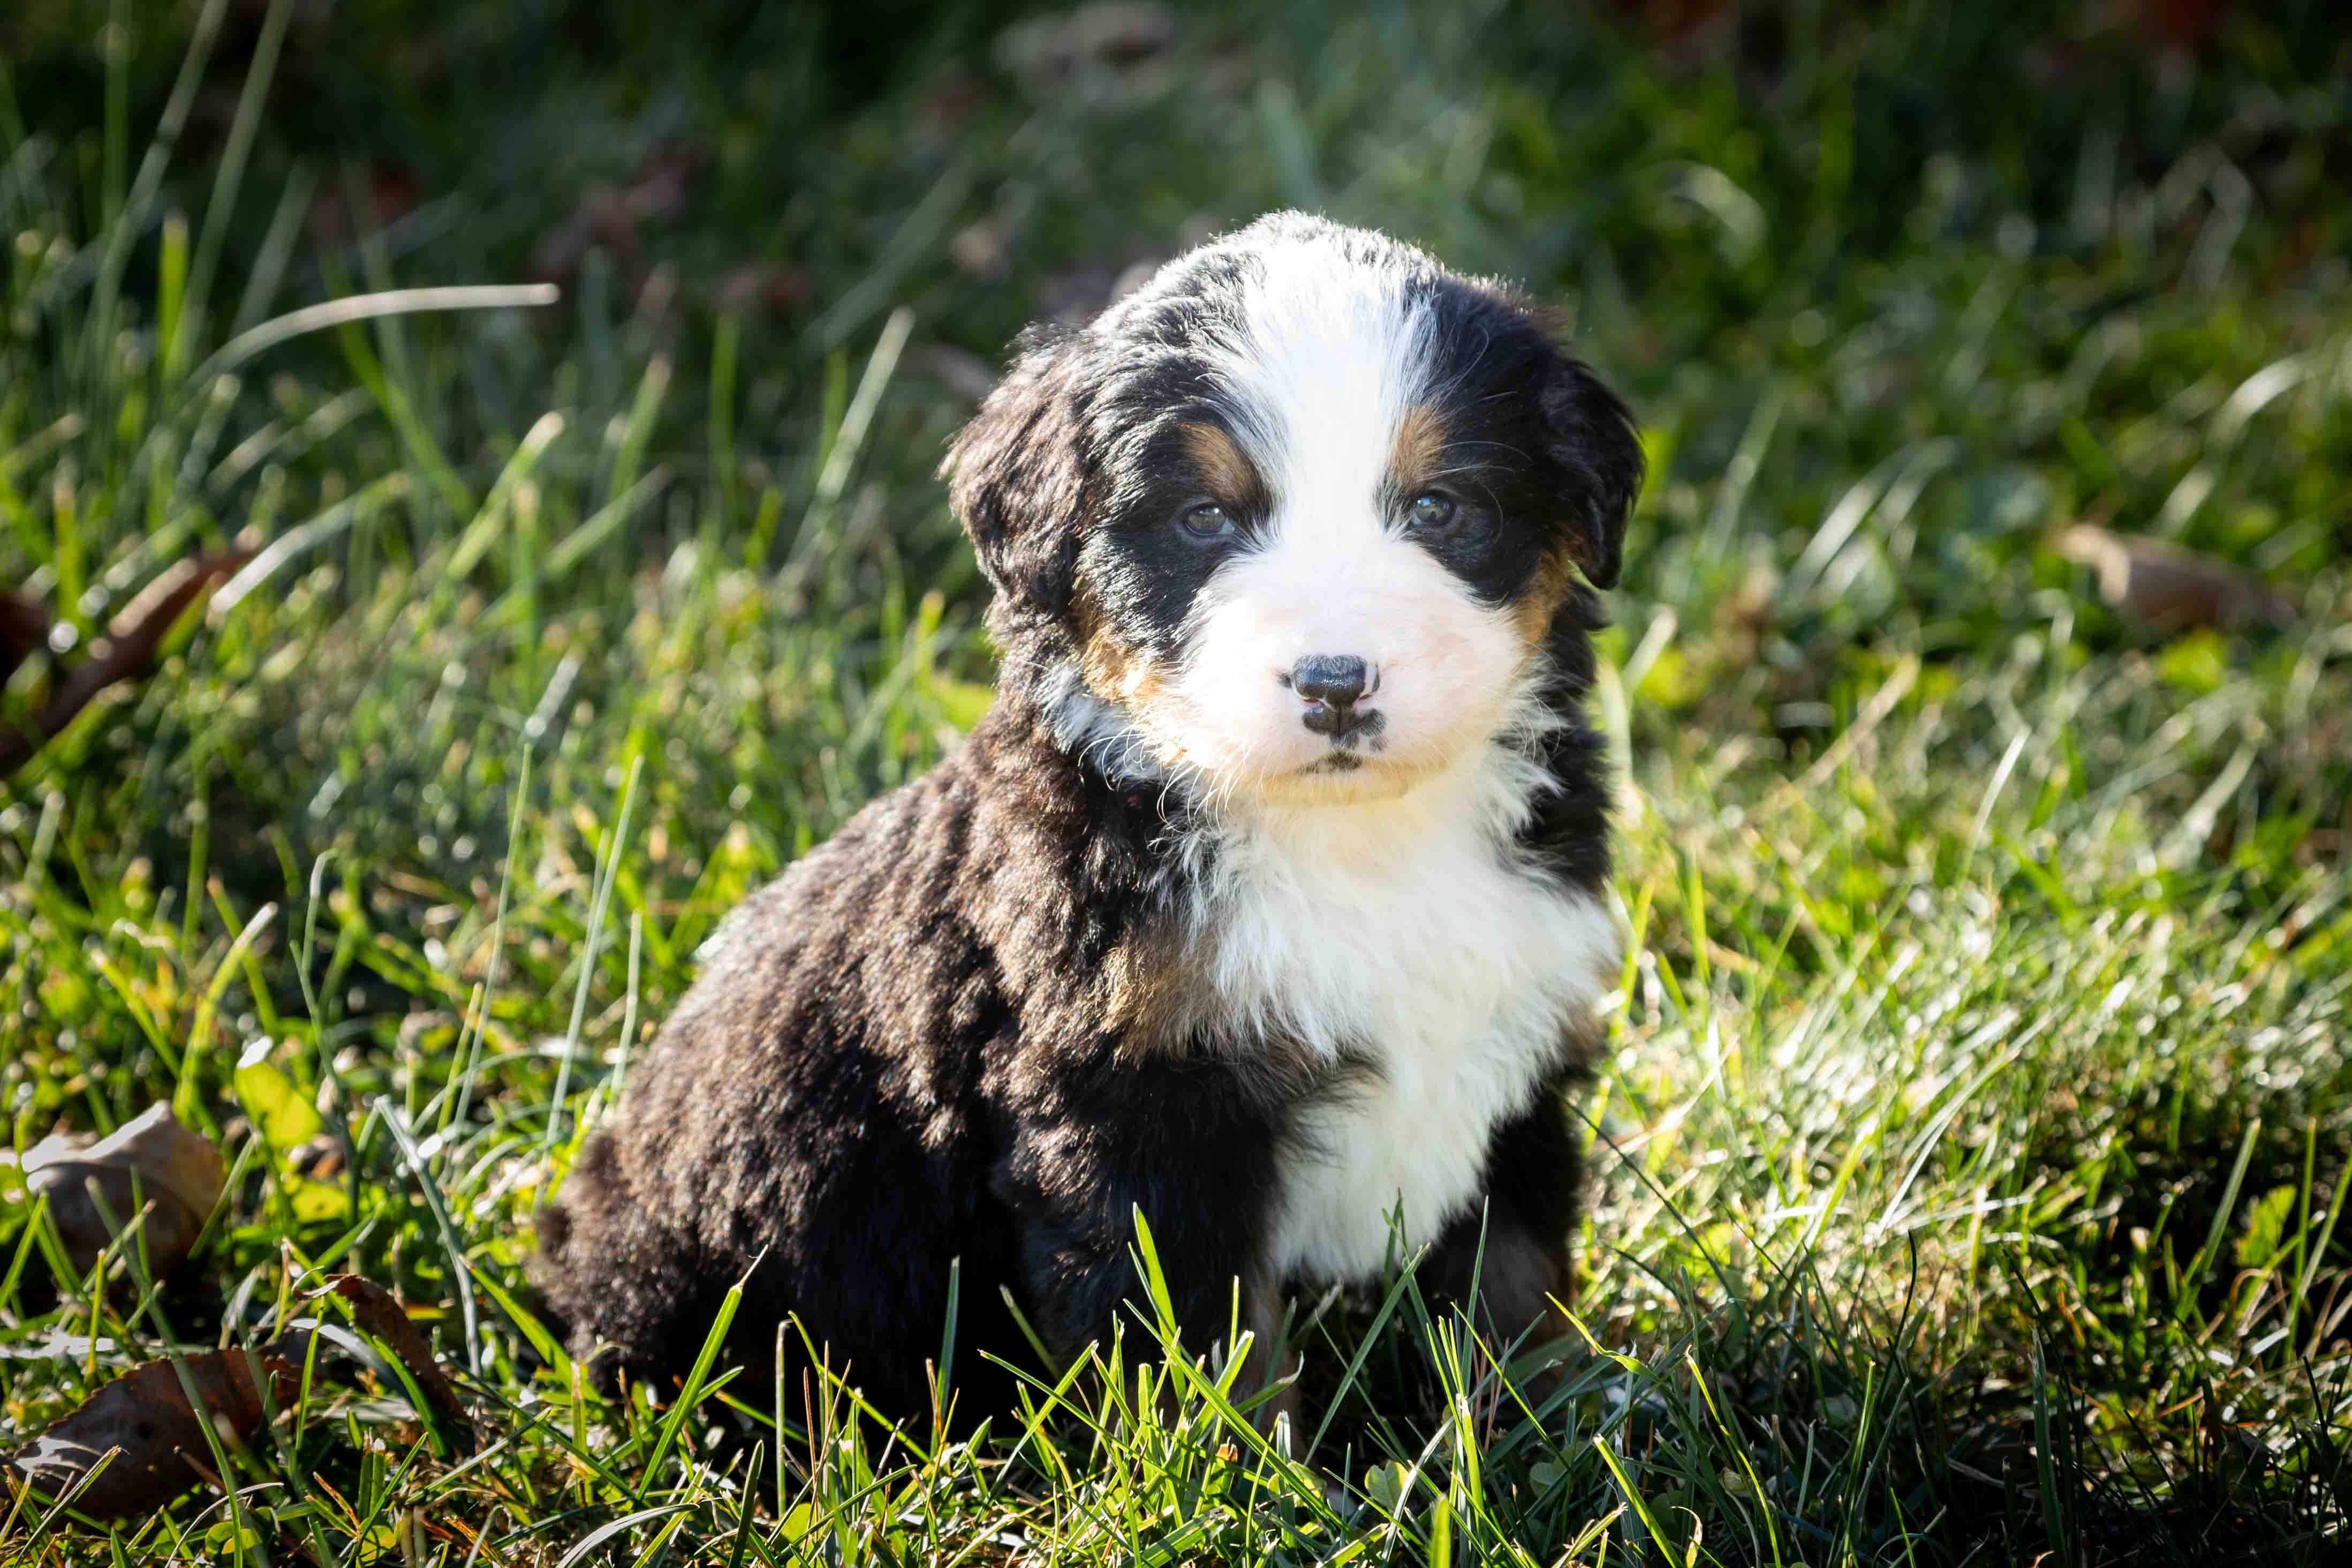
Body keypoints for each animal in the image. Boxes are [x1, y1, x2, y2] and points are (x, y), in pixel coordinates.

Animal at [534, 215, 1637, 1429]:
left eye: (1439, 507)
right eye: (1205, 518)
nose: (1335, 682)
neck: (1356, 845)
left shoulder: (1521, 1043)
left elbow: (1512, 1285)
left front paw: (1547, 1427)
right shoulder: (1133, 1111)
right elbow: (1202, 1348)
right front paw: (1234, 1470)